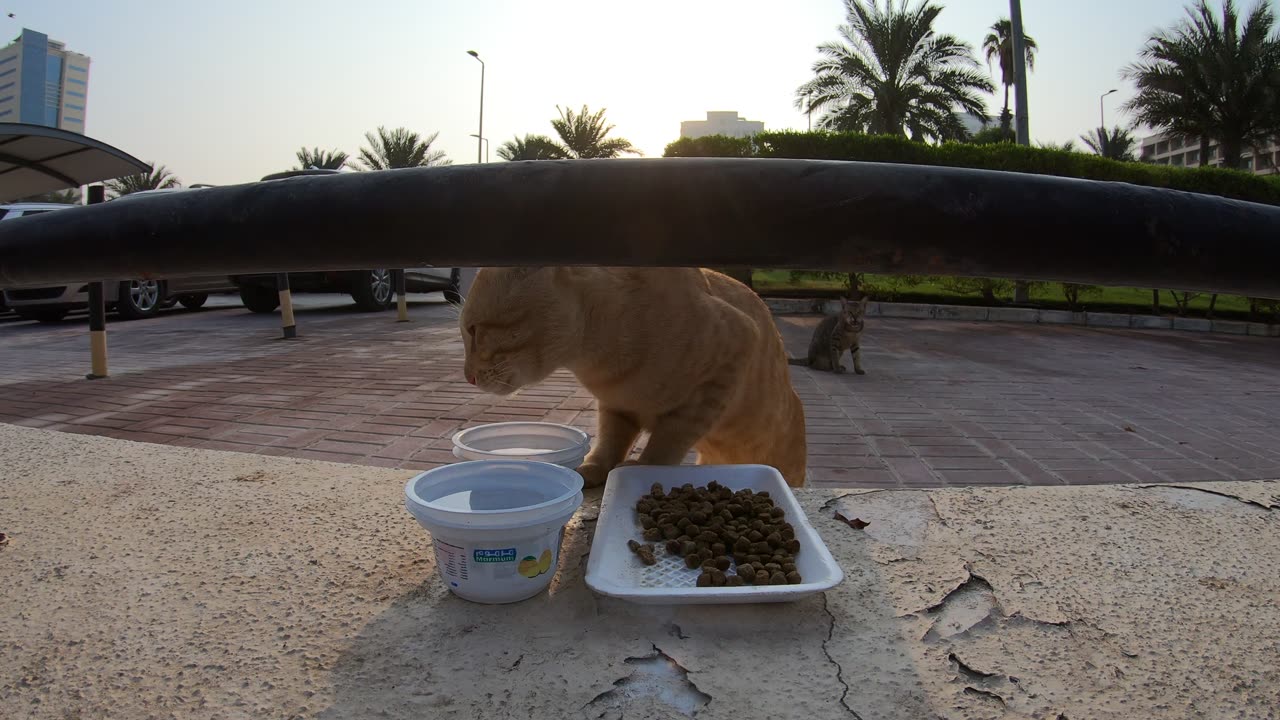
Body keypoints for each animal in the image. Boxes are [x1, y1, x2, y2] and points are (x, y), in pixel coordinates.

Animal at [455, 266, 803, 484]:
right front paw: (595, 467)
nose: (467, 376)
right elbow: (609, 441)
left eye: (473, 331)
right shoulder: (616, 407)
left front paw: (645, 467)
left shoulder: (733, 349)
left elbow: (669, 438)